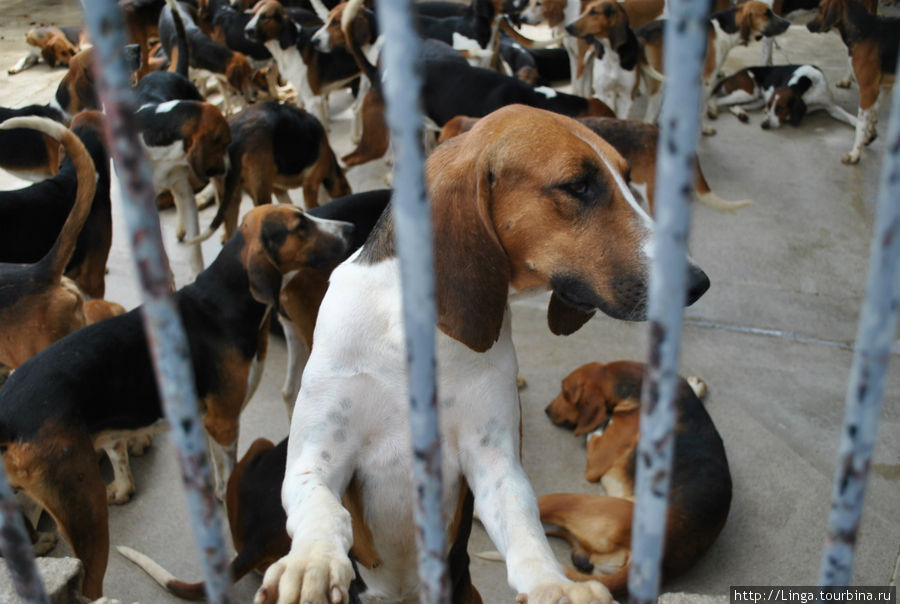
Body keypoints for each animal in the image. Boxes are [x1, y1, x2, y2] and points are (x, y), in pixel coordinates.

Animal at [0, 204, 356, 600]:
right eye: (299, 226)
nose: (350, 227)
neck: (224, 300)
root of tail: (7, 412)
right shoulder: (224, 421)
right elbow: (227, 473)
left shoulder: (204, 420)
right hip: (84, 509)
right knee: (89, 583)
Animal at [253, 106, 712, 604]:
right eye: (578, 186)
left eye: (629, 178)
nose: (698, 283)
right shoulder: (316, 454)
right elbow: (319, 505)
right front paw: (311, 560)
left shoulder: (494, 462)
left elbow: (525, 528)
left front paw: (553, 584)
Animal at [540, 358, 732, 596]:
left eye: (565, 392)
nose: (547, 410)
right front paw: (696, 385)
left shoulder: (596, 461)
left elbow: (595, 432)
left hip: (578, 501)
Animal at [804, 0, 896, 163]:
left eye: (821, 7)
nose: (808, 24)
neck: (864, 30)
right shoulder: (884, 86)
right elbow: (874, 112)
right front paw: (870, 134)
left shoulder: (868, 89)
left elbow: (861, 123)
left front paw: (855, 154)